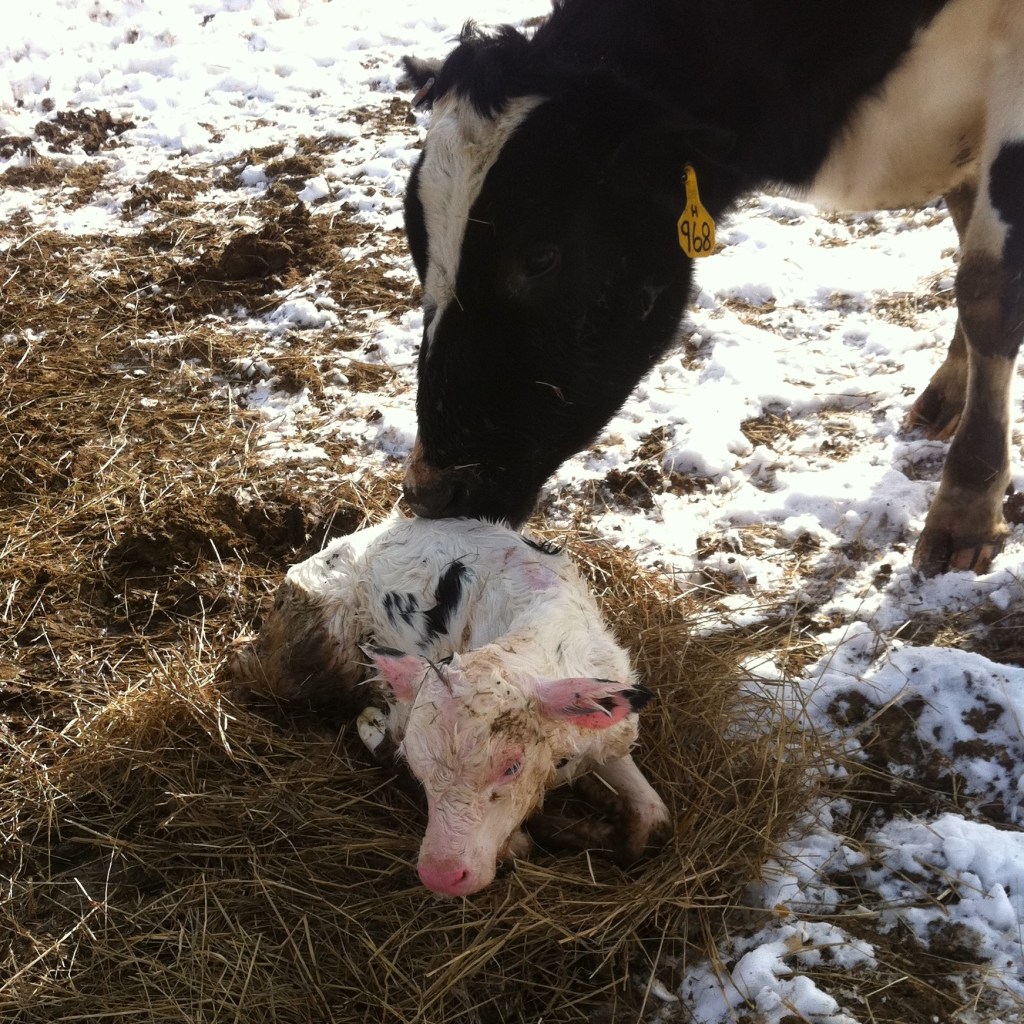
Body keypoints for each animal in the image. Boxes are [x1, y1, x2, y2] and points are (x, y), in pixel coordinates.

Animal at [229, 515, 670, 897]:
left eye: (512, 767)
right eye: (417, 767)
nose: (440, 876)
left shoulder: (609, 737)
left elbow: (652, 820)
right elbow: (519, 844)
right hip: (314, 650)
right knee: (248, 672)